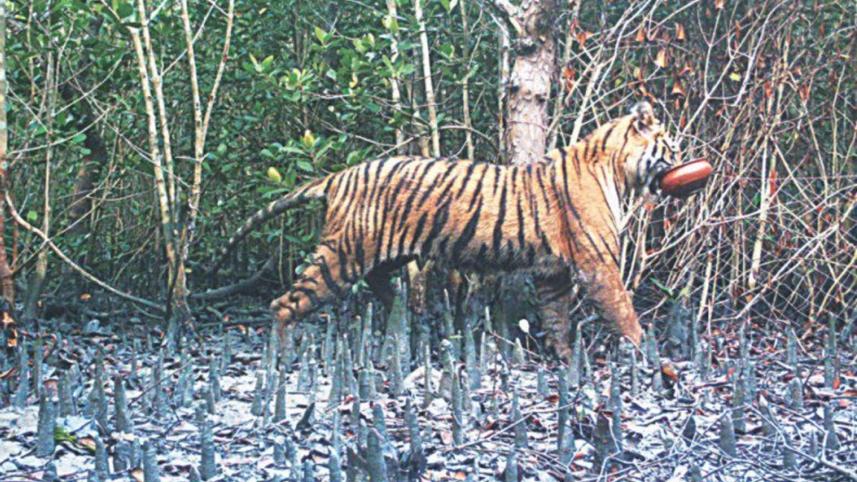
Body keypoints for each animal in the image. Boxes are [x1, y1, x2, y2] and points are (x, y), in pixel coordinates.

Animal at [216, 102, 681, 357]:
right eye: (670, 147)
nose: (683, 158)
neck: (618, 169)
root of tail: (340, 176)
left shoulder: (554, 272)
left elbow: (557, 318)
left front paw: (566, 362)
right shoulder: (597, 264)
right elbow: (622, 310)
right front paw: (645, 352)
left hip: (383, 253)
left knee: (382, 282)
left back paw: (405, 315)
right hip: (341, 256)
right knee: (284, 303)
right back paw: (282, 358)